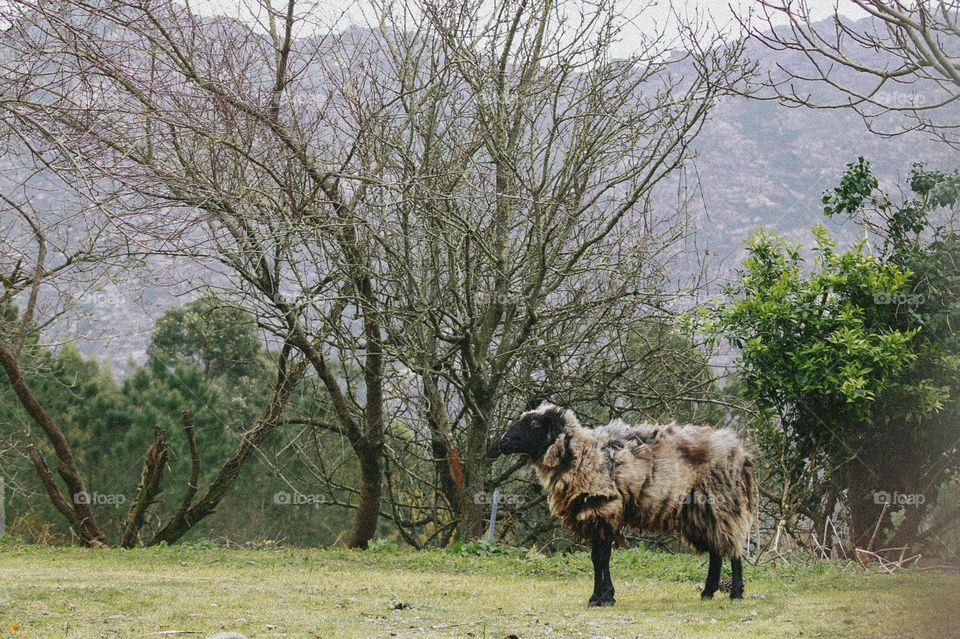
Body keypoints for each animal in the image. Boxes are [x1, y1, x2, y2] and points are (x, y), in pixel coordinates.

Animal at [498, 403, 756, 605]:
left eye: (534, 424)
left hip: (722, 501)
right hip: (700, 512)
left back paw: (735, 593)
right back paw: (708, 592)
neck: (583, 454)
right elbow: (598, 558)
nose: (503, 442)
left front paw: (602, 597)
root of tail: (740, 451)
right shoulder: (597, 514)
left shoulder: (603, 509)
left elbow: (600, 557)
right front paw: (602, 596)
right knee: (716, 549)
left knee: (732, 548)